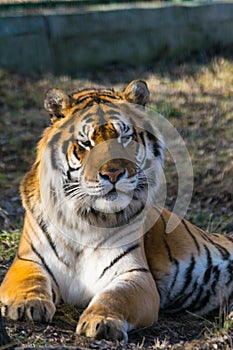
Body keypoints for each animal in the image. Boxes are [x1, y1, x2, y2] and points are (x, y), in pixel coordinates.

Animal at [0, 80, 233, 342]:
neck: (86, 219)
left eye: (124, 137)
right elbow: (28, 281)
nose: (113, 173)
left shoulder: (135, 274)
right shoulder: (27, 260)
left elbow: (116, 297)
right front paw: (27, 304)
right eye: (86, 143)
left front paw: (102, 321)